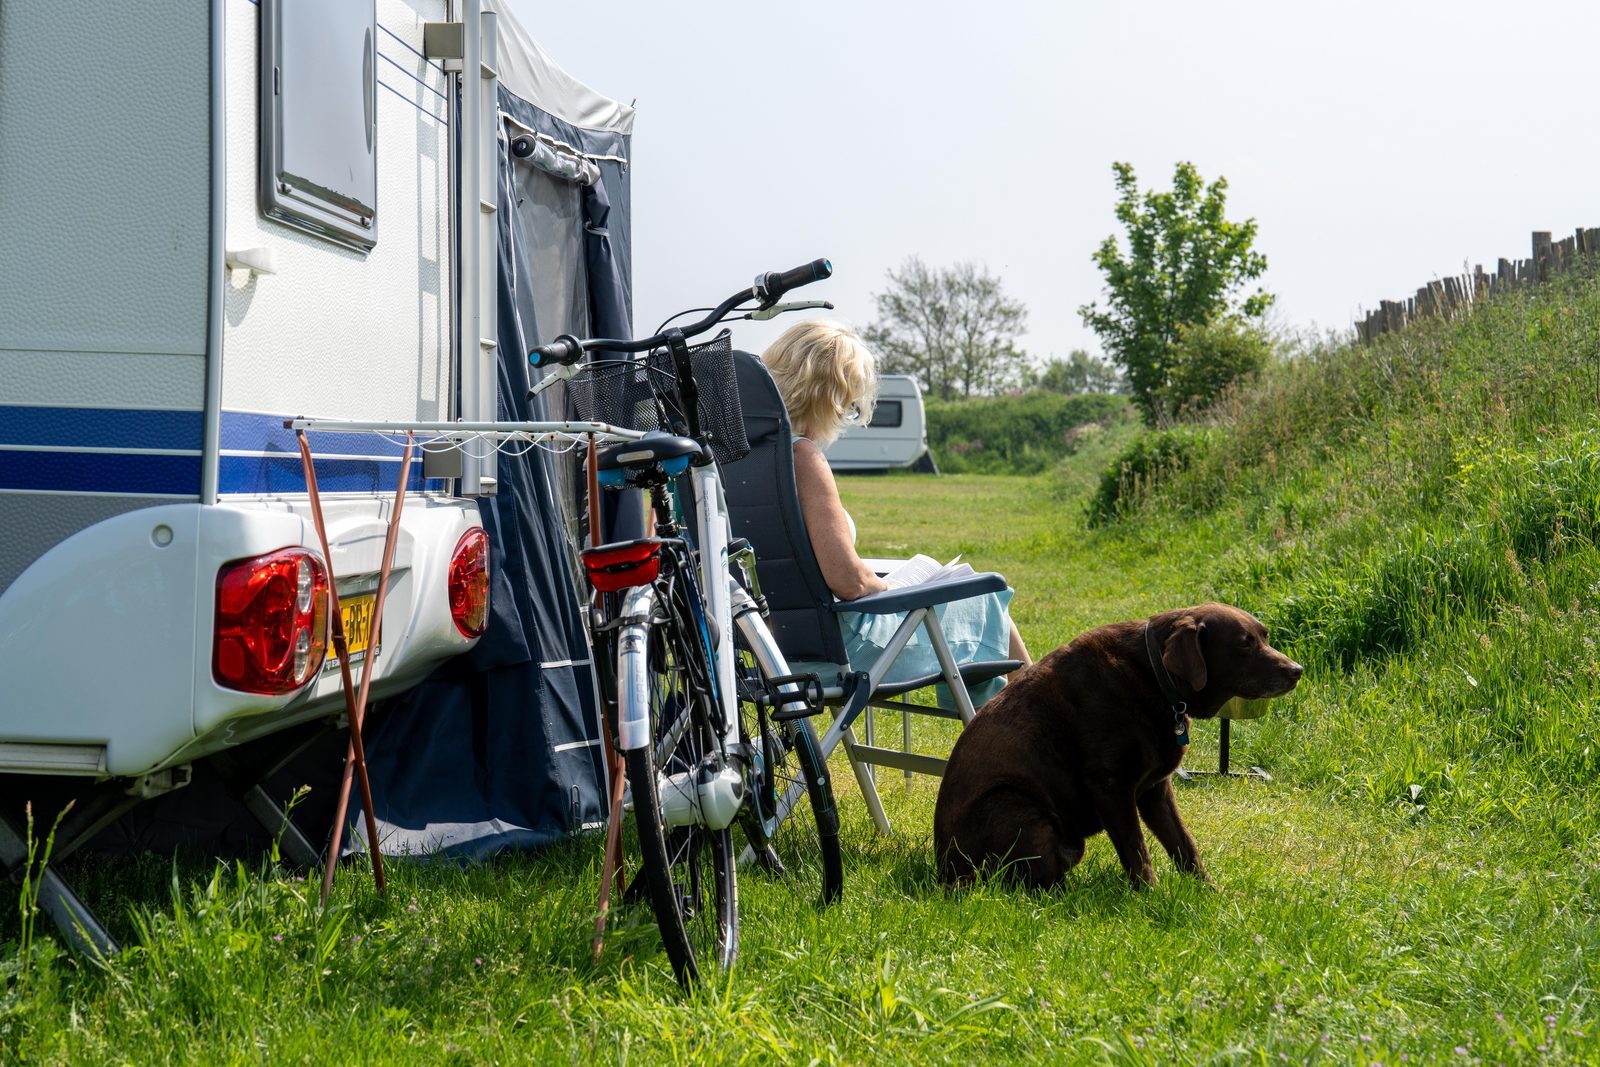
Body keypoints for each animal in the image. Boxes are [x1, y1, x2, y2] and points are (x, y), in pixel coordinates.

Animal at [934, 604, 1299, 889]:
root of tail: (945, 874)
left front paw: (1209, 892)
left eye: (1265, 637)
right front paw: (1150, 898)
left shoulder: (1156, 791)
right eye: (1245, 644)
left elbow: (1184, 844)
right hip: (1019, 808)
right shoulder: (1112, 788)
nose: (1297, 670)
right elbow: (1137, 851)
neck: (1155, 676)